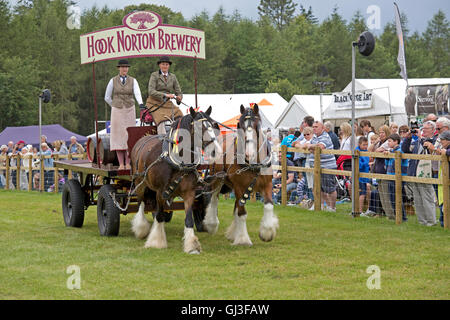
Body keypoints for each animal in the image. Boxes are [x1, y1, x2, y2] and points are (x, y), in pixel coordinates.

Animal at [129, 106, 222, 254]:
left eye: (213, 125)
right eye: (198, 127)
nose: (216, 151)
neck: (177, 161)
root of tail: (142, 139)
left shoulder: (189, 192)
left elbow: (188, 219)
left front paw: (192, 246)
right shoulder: (160, 192)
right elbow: (160, 216)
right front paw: (156, 241)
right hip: (140, 183)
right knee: (141, 203)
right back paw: (141, 228)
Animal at [200, 104, 278, 245]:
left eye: (257, 125)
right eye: (239, 125)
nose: (248, 153)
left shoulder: (267, 184)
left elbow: (269, 205)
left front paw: (267, 232)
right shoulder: (239, 187)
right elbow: (242, 212)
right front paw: (242, 239)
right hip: (217, 179)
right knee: (214, 198)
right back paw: (212, 223)